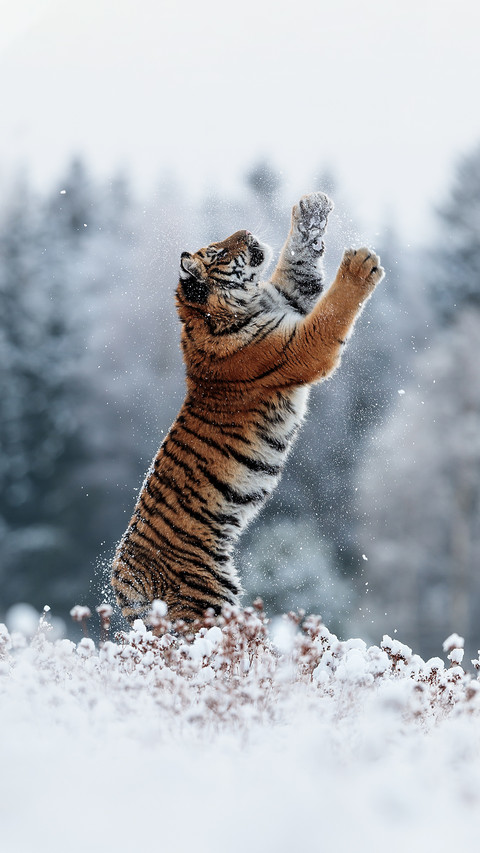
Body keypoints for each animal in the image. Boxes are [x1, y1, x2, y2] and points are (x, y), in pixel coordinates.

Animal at [111, 191, 385, 628]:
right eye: (219, 251)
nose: (246, 231)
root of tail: (122, 575)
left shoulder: (291, 298)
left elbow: (299, 263)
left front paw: (311, 210)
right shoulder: (304, 346)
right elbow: (332, 310)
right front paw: (359, 264)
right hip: (206, 604)